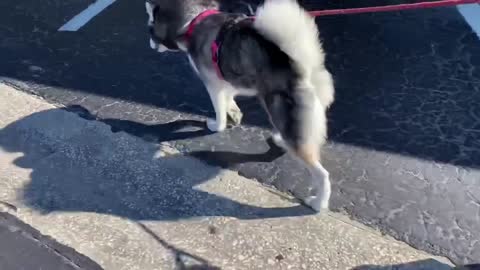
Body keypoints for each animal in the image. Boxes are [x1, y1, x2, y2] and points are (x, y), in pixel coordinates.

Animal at [144, 0, 336, 211]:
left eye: (150, 28)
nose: (149, 44)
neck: (194, 20)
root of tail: (304, 70)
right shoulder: (225, 80)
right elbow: (228, 100)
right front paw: (234, 114)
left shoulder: (212, 84)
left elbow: (218, 109)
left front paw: (218, 125)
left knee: (322, 173)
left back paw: (319, 202)